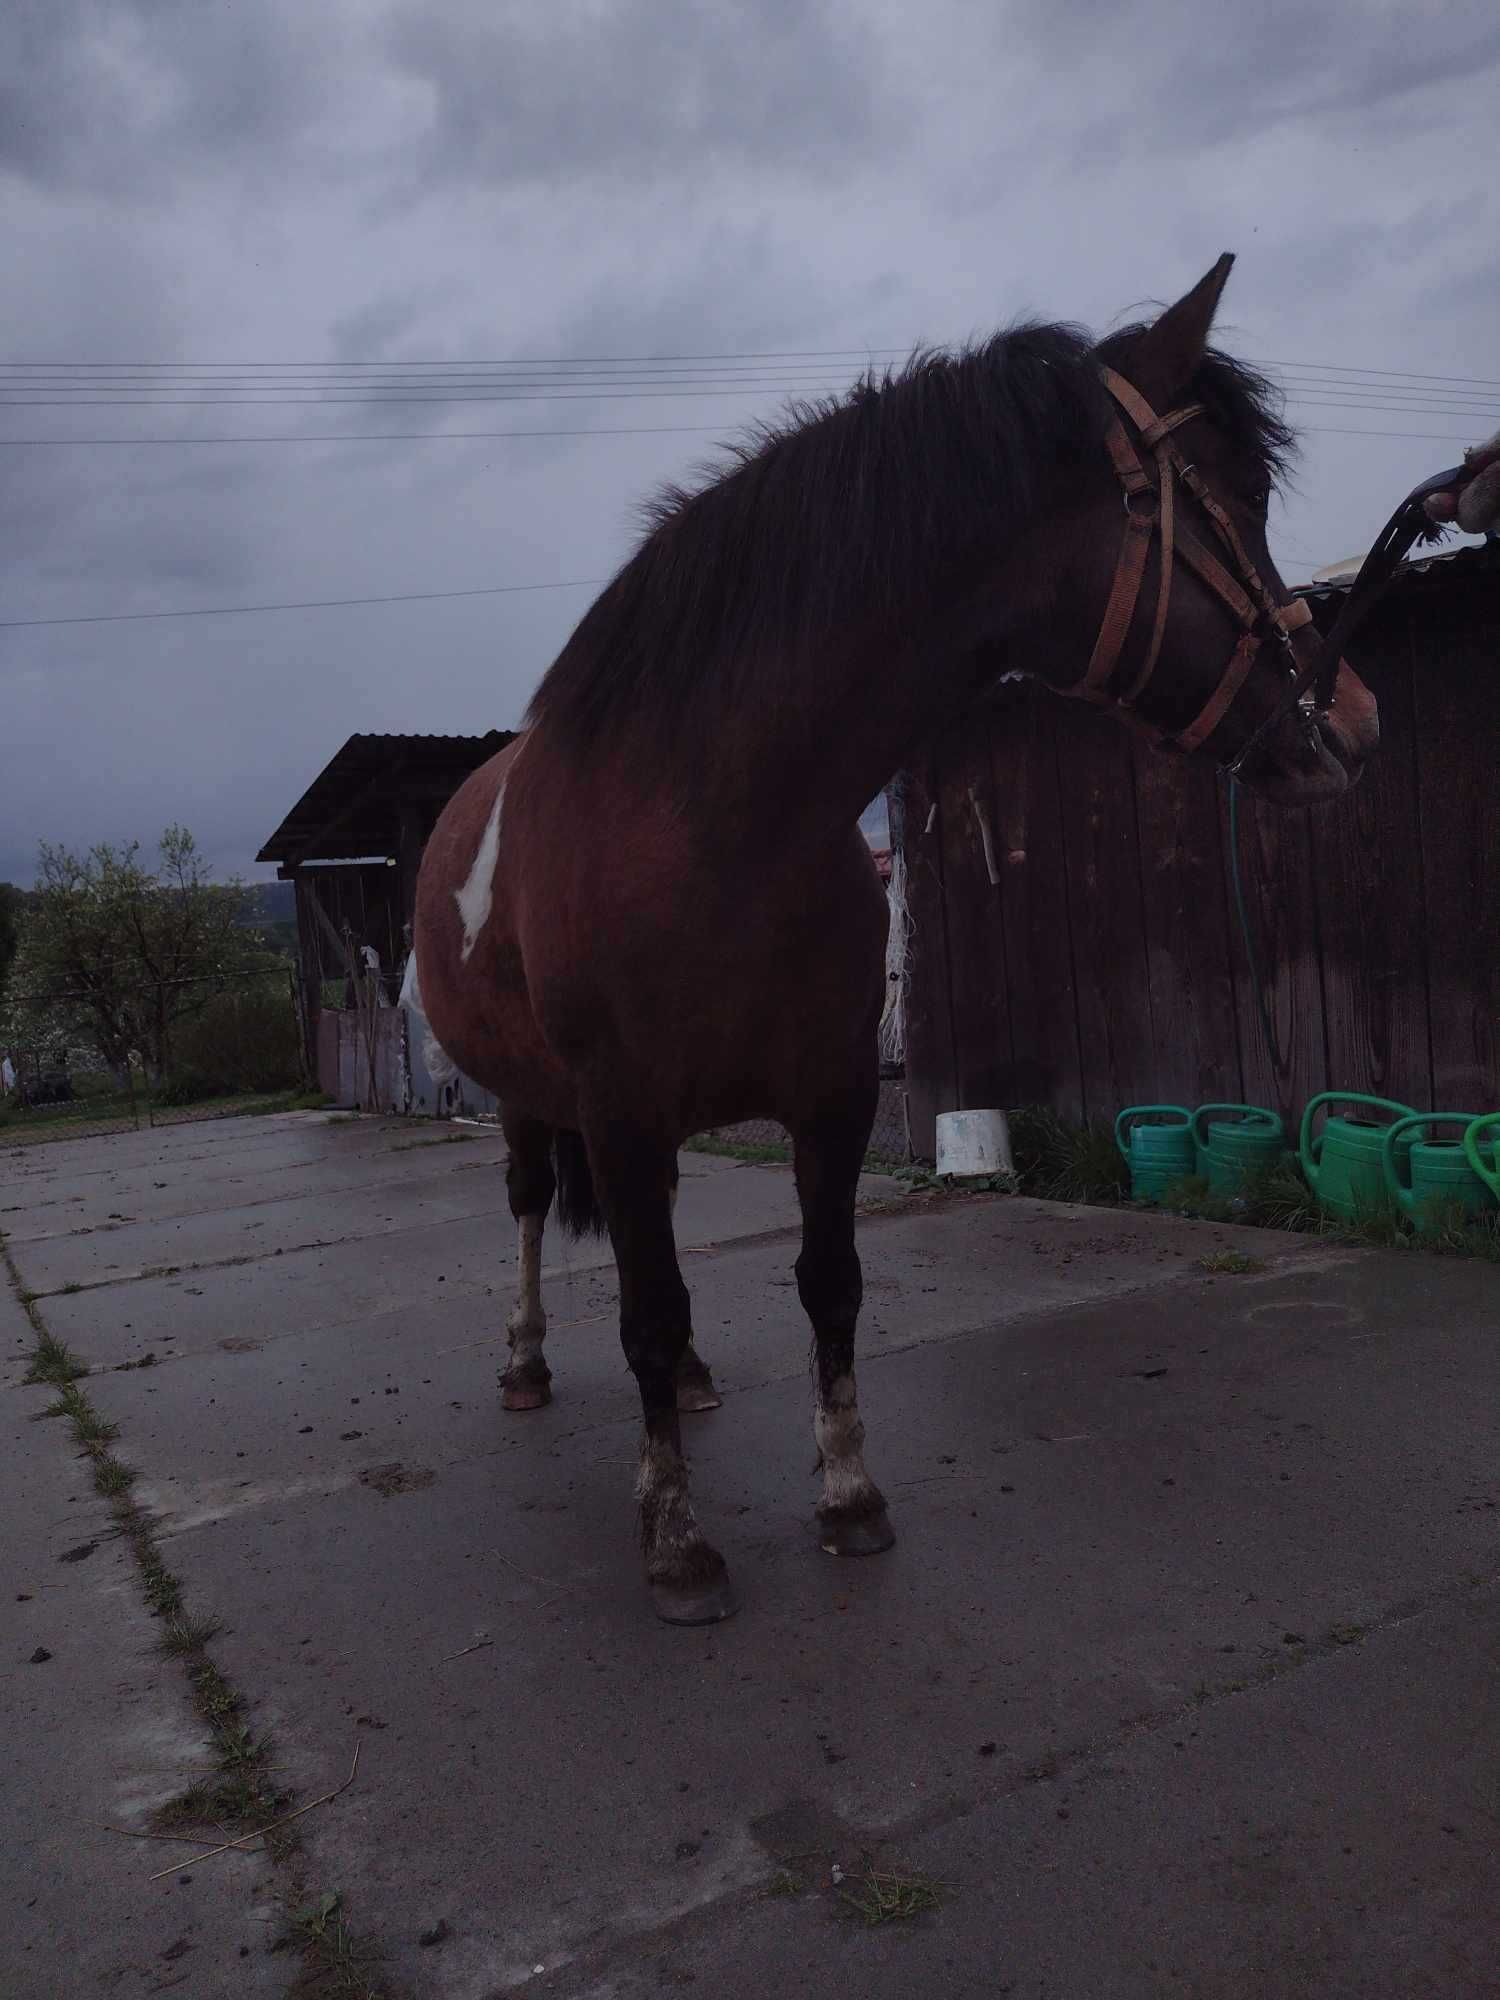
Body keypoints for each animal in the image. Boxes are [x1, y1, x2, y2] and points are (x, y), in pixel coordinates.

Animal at [412, 254, 1384, 1624]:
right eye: (1230, 499)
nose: (1350, 713)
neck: (710, 818)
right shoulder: (615, 1107)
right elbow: (643, 1309)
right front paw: (676, 1539)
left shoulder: (831, 1095)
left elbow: (826, 1286)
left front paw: (847, 1495)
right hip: (526, 1103)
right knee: (529, 1211)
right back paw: (526, 1359)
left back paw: (694, 1379)